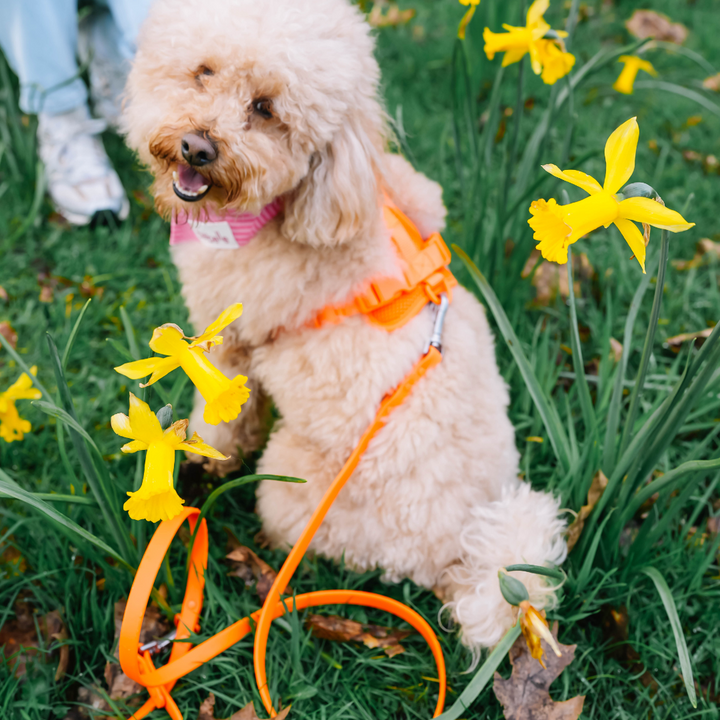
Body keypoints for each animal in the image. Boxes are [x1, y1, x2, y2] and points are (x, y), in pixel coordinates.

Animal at [121, 0, 564, 648]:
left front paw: (202, 459)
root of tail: (459, 553)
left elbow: (221, 420)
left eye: (266, 109)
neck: (289, 210)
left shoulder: (229, 344)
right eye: (202, 72)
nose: (197, 148)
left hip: (292, 488)